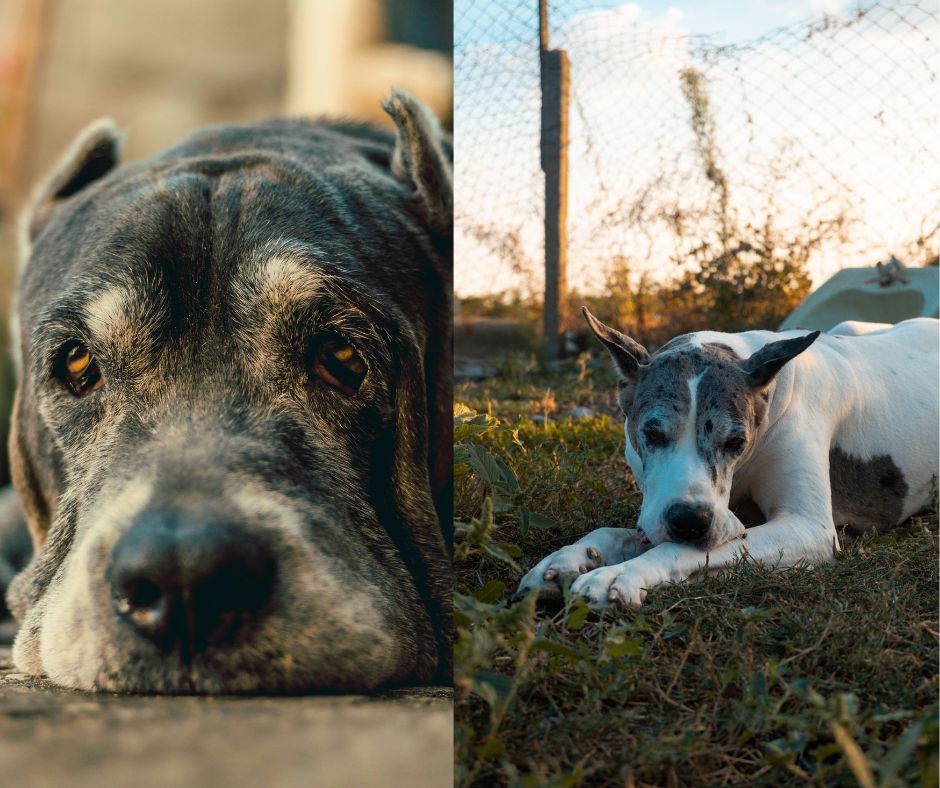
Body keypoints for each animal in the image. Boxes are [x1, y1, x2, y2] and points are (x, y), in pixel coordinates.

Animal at [516, 310, 936, 608]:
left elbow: (686, 548)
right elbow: (614, 532)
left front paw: (618, 575)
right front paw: (564, 561)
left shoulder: (809, 527)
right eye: (652, 434)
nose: (689, 520)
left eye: (735, 441)